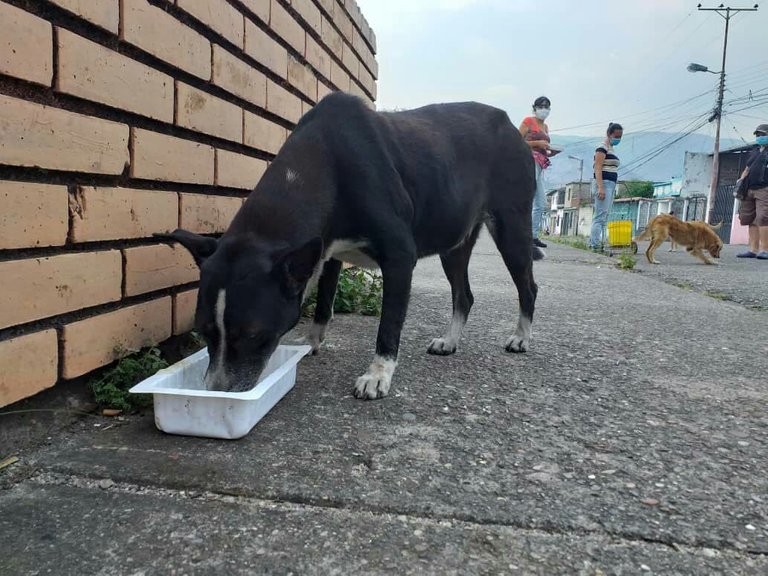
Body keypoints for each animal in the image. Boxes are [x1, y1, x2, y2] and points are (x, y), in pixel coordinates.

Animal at [164, 94, 540, 400]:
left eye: (254, 335)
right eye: (204, 331)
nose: (217, 391)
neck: (323, 165)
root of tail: (509, 124)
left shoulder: (399, 255)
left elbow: (389, 324)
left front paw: (378, 375)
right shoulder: (324, 252)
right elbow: (322, 304)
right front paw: (310, 344)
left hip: (512, 226)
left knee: (528, 285)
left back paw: (521, 337)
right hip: (455, 242)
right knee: (464, 293)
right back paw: (450, 341)